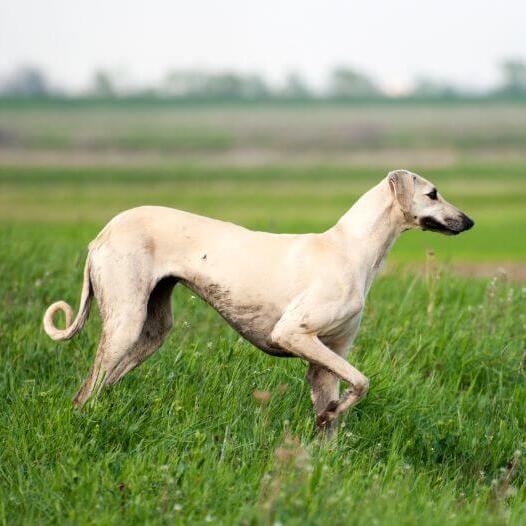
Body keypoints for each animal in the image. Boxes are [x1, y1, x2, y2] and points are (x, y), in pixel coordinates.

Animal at [43, 171, 476, 436]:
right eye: (432, 193)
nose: (469, 222)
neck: (351, 249)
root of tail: (102, 234)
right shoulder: (293, 333)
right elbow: (363, 382)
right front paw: (334, 412)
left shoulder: (327, 359)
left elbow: (335, 411)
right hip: (125, 322)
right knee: (85, 392)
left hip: (151, 332)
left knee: (100, 387)